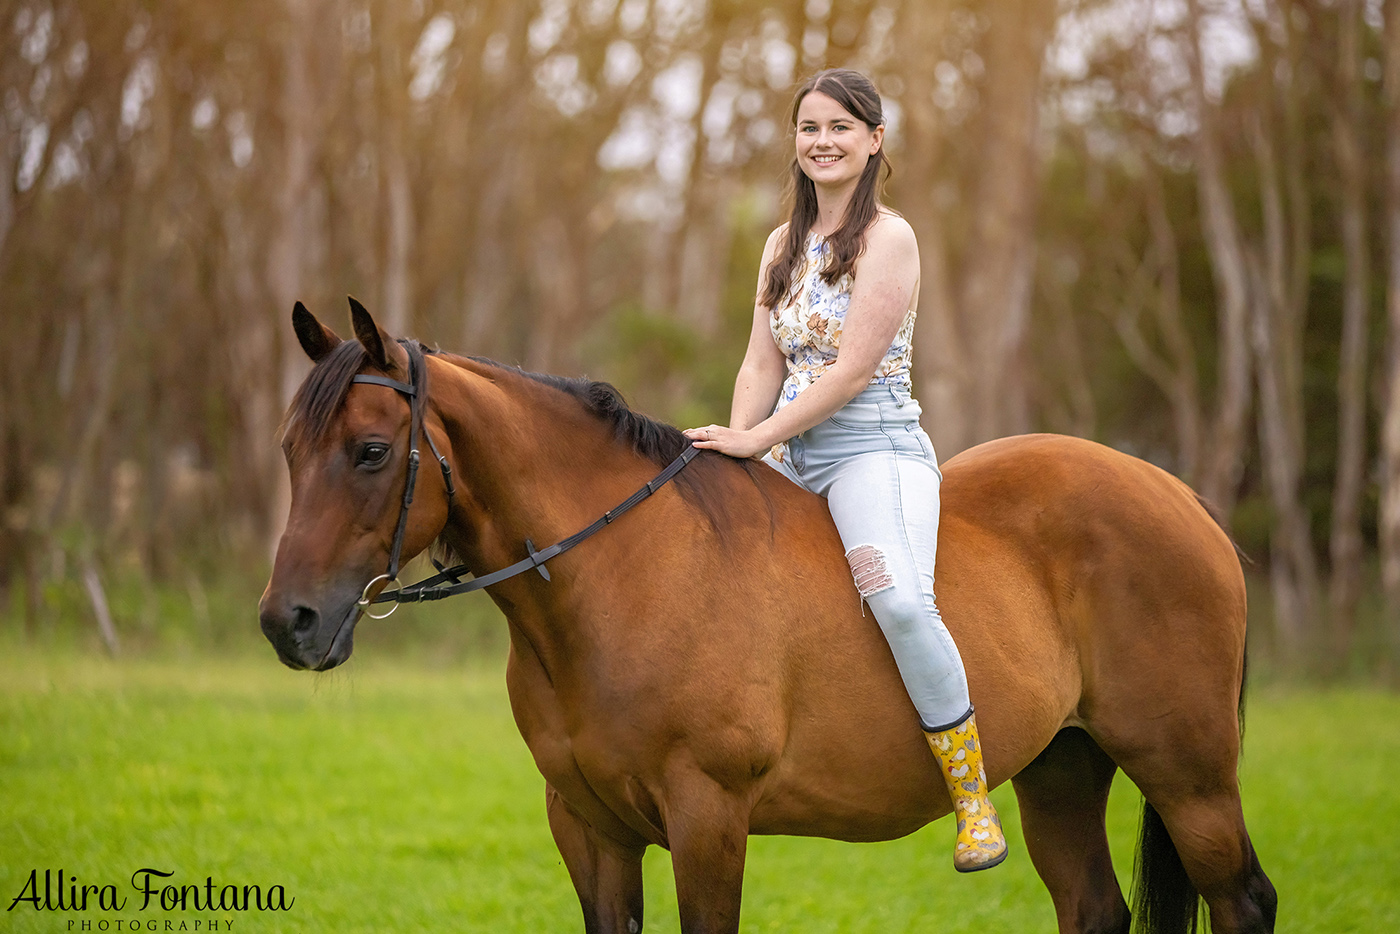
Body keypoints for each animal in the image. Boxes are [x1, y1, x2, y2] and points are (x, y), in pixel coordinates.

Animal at [257, 299, 1276, 934]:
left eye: (372, 450)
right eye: (289, 449)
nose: (287, 623)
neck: (619, 574)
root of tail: (1179, 499)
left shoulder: (708, 817)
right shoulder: (587, 825)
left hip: (1188, 776)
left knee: (1244, 899)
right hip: (1063, 769)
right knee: (1095, 906)